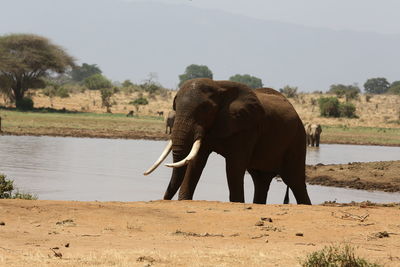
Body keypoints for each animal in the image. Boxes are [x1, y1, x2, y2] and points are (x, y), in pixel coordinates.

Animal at [145, 78, 310, 206]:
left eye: (204, 109)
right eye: (175, 106)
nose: (164, 199)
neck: (218, 86)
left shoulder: (246, 127)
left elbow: (234, 167)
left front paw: (237, 202)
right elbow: (196, 162)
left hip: (297, 139)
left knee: (295, 181)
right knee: (261, 181)